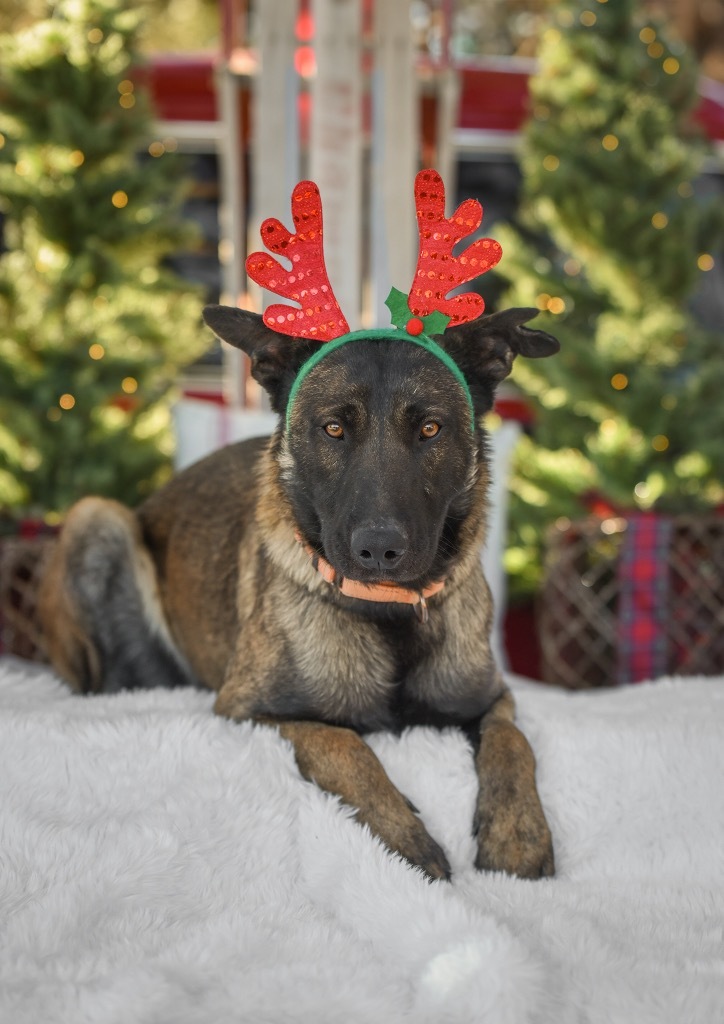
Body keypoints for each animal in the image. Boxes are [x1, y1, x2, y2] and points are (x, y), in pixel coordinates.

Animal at [38, 299, 561, 884]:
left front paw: (518, 836)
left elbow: (514, 742)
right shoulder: (249, 713)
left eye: (430, 428)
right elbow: (340, 742)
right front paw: (403, 838)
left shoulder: (492, 700)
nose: (379, 549)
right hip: (96, 516)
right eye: (333, 428)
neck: (385, 615)